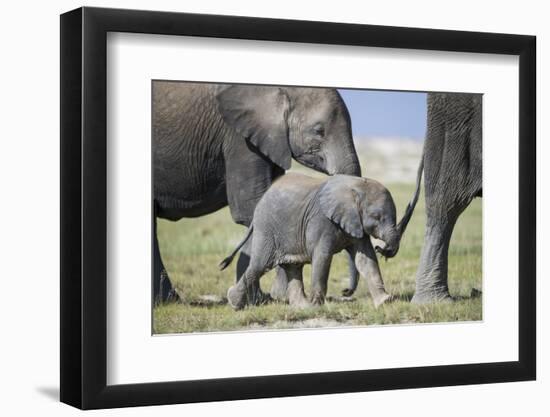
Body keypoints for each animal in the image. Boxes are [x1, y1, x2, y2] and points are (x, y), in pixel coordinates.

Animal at [153, 81, 364, 302]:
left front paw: (276, 297)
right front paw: (264, 300)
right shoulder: (239, 139)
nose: (345, 291)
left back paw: (167, 300)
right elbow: (251, 208)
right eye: (318, 130)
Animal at [219, 172, 402, 308]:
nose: (383, 249)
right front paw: (317, 306)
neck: (355, 186)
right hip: (267, 229)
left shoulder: (357, 224)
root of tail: (262, 199)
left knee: (292, 267)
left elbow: (365, 259)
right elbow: (322, 257)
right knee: (259, 265)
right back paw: (234, 302)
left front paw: (385, 301)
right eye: (377, 217)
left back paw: (302, 307)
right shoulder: (321, 221)